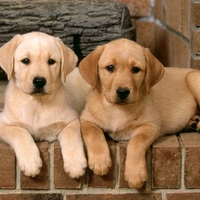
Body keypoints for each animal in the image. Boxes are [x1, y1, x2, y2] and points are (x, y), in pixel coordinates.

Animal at [0, 32, 90, 179]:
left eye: (51, 61)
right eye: (25, 60)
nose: (39, 81)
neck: (37, 104)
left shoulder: (71, 120)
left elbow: (71, 136)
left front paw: (75, 163)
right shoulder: (3, 123)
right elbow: (20, 132)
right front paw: (30, 161)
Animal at [78, 38, 200, 188]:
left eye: (135, 69)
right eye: (110, 67)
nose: (123, 92)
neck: (117, 109)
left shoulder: (150, 126)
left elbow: (136, 142)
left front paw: (135, 173)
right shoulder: (86, 119)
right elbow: (93, 133)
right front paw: (100, 160)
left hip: (193, 79)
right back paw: (193, 122)